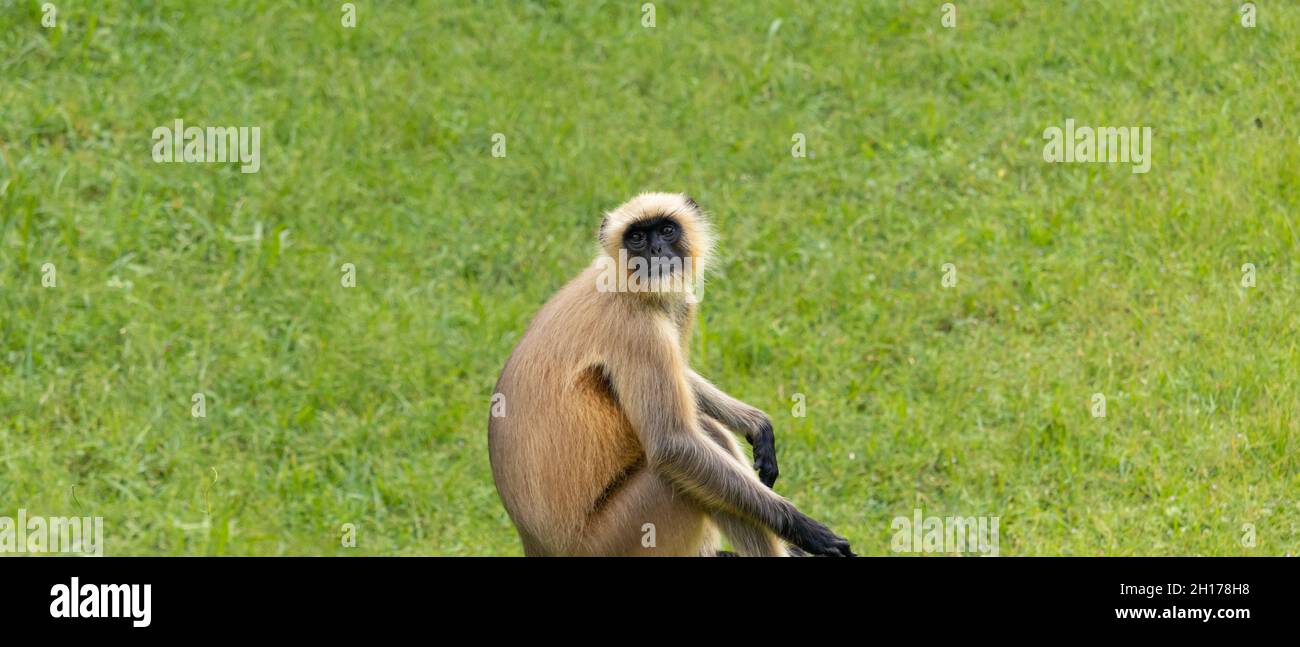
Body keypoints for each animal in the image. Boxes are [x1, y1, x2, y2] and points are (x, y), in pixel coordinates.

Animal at [488, 193, 853, 557]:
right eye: (636, 237)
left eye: (666, 230)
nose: (656, 250)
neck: (624, 284)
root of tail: (534, 545)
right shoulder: (637, 327)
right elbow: (672, 445)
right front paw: (805, 528)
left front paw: (758, 425)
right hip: (616, 535)